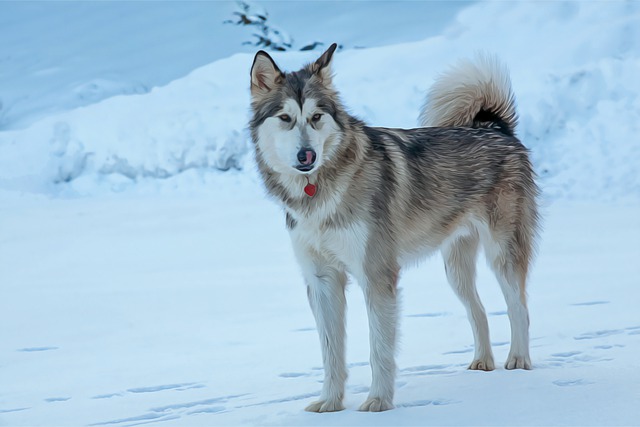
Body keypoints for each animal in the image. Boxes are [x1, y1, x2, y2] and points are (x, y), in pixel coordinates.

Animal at [248, 44, 536, 414]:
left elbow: (378, 350)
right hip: (455, 268)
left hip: (503, 254)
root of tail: (495, 128)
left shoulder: (377, 275)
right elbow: (331, 353)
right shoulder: (322, 279)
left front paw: (378, 401)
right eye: (285, 118)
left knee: (519, 308)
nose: (306, 155)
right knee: (479, 311)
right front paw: (330, 402)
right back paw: (483, 362)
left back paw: (518, 362)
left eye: (316, 117)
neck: (320, 194)